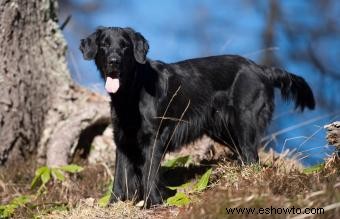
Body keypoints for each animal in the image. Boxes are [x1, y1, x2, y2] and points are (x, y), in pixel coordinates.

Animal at [80, 26, 316, 206]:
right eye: (104, 45)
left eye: (125, 46)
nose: (113, 61)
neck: (132, 92)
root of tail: (260, 69)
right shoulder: (122, 139)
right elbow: (120, 177)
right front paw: (115, 204)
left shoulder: (154, 138)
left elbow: (149, 173)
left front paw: (153, 203)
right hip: (224, 131)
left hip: (244, 123)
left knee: (252, 158)